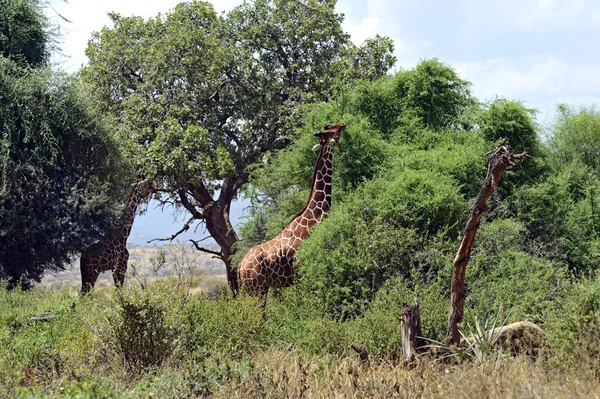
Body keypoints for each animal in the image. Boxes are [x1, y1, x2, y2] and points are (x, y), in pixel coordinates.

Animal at [236, 122, 344, 296]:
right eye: (333, 130)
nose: (344, 124)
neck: (314, 217)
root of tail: (239, 266)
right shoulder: (302, 269)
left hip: (251, 289)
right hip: (256, 288)